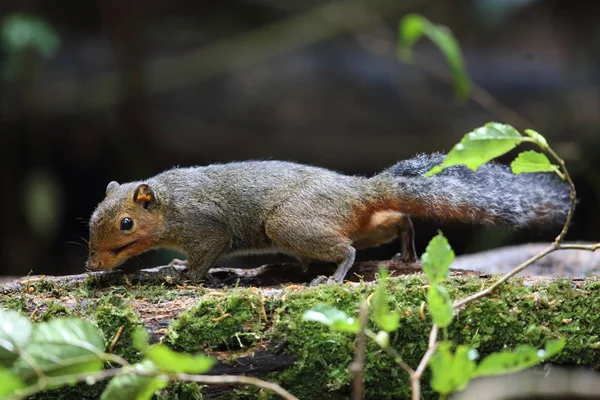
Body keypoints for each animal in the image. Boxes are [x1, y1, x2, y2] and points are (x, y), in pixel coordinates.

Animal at [86, 153, 568, 284]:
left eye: (126, 224)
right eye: (92, 220)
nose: (91, 264)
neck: (170, 203)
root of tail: (357, 191)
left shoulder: (206, 229)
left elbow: (205, 258)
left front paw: (182, 274)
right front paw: (170, 263)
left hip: (291, 224)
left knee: (349, 248)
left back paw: (332, 276)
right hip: (357, 222)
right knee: (397, 221)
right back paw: (406, 255)